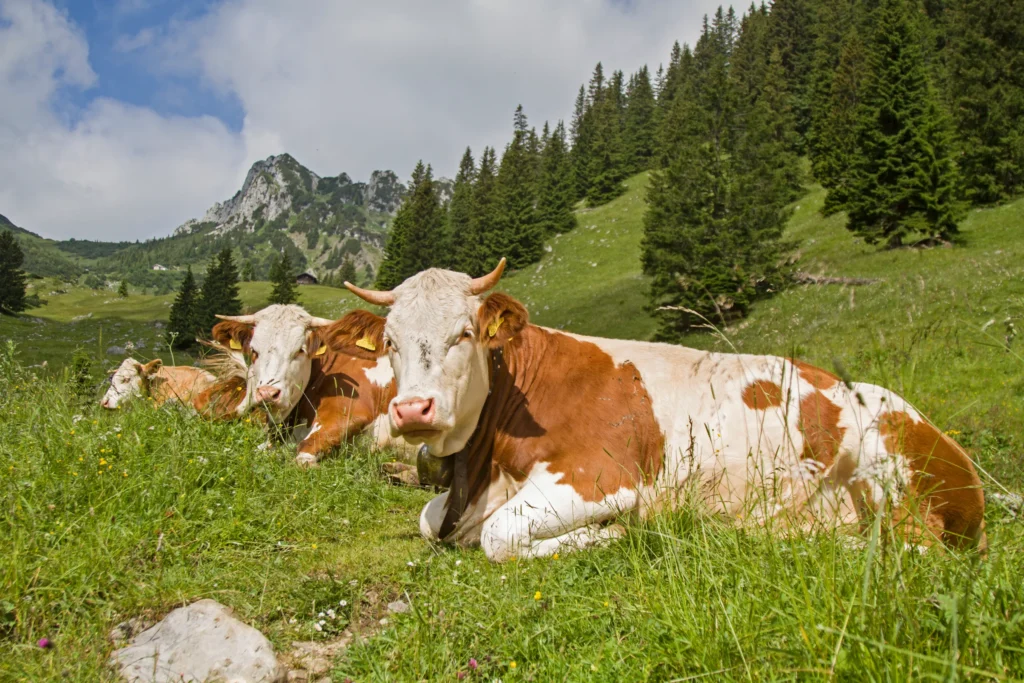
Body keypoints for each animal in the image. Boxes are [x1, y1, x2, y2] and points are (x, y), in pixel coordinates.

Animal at [340, 259, 987, 562]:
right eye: (391, 341)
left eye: (465, 334)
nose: (412, 410)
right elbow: (430, 521)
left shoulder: (600, 477)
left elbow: (500, 536)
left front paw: (608, 535)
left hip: (889, 479)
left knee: (911, 547)